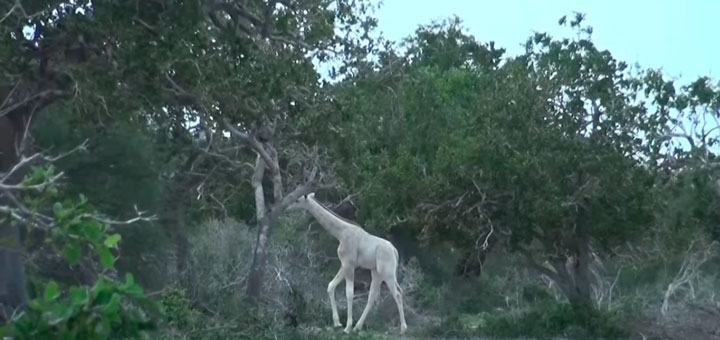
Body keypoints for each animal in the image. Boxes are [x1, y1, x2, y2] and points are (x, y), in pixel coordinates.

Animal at [292, 193, 404, 334]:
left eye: (298, 200)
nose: (288, 207)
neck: (341, 233)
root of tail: (395, 251)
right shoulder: (344, 265)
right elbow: (331, 286)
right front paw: (337, 323)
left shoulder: (349, 264)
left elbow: (349, 293)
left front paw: (347, 327)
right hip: (376, 272)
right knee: (373, 295)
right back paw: (358, 326)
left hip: (387, 273)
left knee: (397, 294)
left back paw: (403, 329)